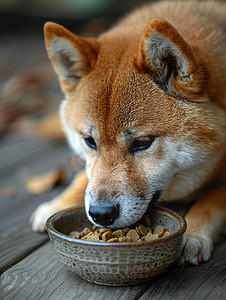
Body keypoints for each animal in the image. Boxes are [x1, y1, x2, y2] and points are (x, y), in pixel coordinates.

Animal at [30, 0, 225, 264]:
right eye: (89, 141)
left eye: (142, 142)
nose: (101, 214)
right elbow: (85, 175)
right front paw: (57, 203)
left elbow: (212, 199)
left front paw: (193, 233)